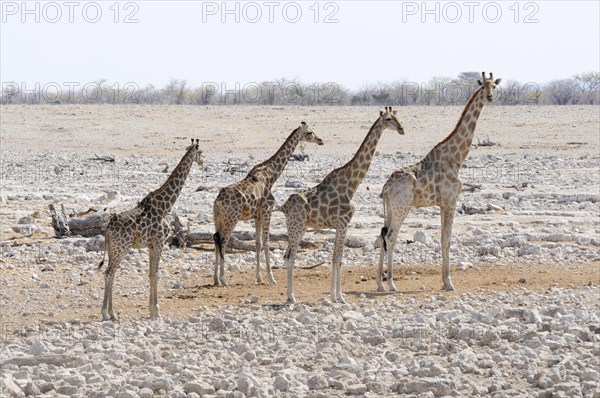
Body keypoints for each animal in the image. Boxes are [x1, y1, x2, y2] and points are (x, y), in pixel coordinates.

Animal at [97, 140, 203, 320]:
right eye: (201, 152)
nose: (202, 162)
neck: (165, 205)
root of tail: (108, 228)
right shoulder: (159, 243)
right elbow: (156, 275)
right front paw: (156, 311)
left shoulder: (152, 245)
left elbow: (151, 274)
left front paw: (152, 309)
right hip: (121, 249)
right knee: (110, 273)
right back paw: (106, 313)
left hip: (112, 250)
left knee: (109, 273)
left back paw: (112, 313)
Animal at [212, 121, 324, 286]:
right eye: (310, 132)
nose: (321, 140)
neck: (272, 176)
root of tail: (217, 202)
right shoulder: (267, 211)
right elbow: (266, 242)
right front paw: (272, 278)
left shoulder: (257, 216)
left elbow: (258, 243)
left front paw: (259, 278)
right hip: (231, 219)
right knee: (223, 242)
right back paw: (223, 279)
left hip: (218, 219)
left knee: (215, 239)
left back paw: (215, 279)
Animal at [280, 107, 404, 304]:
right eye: (388, 119)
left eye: (397, 117)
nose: (401, 129)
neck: (351, 185)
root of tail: (284, 206)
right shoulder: (342, 223)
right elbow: (337, 258)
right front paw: (336, 296)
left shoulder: (342, 225)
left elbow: (338, 258)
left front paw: (339, 295)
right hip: (297, 227)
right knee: (291, 257)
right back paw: (292, 297)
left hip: (297, 227)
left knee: (286, 256)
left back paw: (290, 296)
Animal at [376, 70, 502, 292]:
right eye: (483, 85)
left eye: (494, 86)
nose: (489, 97)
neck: (456, 157)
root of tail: (386, 187)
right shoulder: (451, 200)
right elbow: (447, 239)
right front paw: (449, 282)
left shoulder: (442, 203)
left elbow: (444, 238)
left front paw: (445, 281)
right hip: (402, 207)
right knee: (390, 236)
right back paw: (391, 284)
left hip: (391, 208)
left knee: (382, 235)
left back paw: (380, 284)